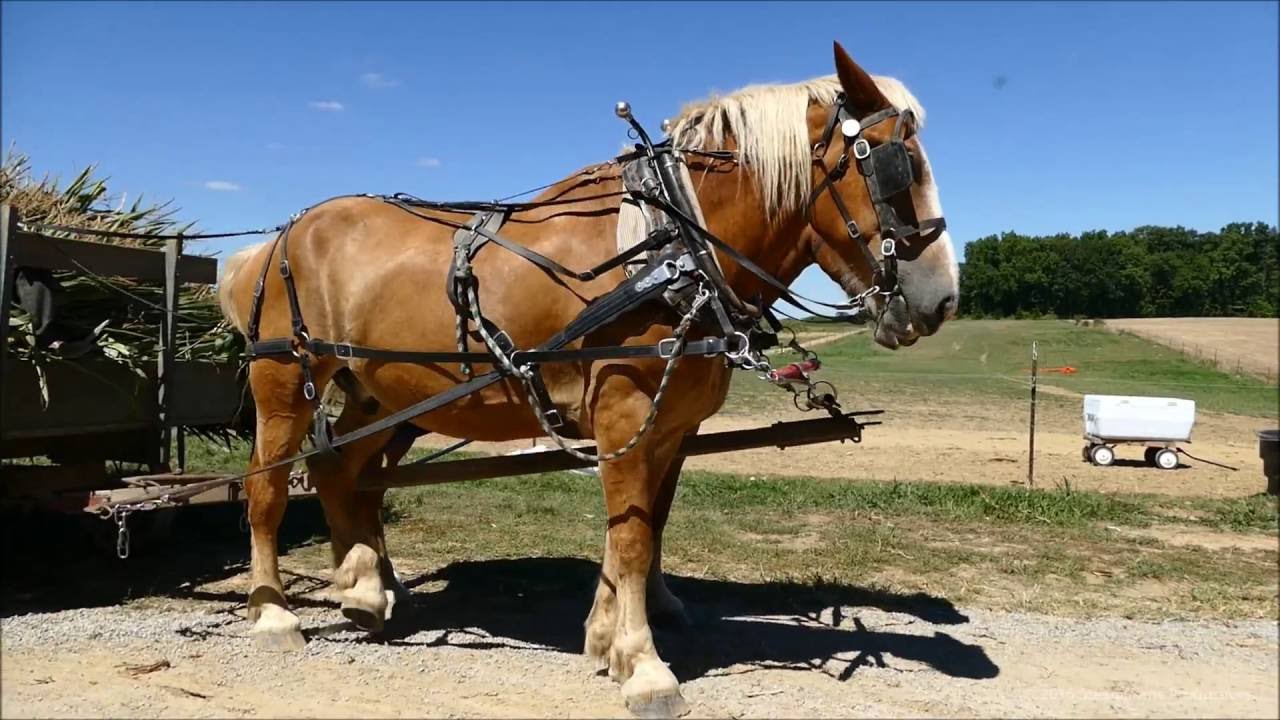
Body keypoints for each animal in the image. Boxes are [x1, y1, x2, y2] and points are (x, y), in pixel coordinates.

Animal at [217, 42, 958, 716]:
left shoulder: (670, 426)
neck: (668, 249)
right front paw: (644, 665)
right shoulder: (624, 410)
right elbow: (630, 536)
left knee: (341, 470)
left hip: (382, 396)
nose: (942, 300)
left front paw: (607, 637)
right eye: (893, 164)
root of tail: (277, 238)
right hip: (284, 384)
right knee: (268, 490)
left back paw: (367, 590)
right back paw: (274, 612)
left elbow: (642, 526)